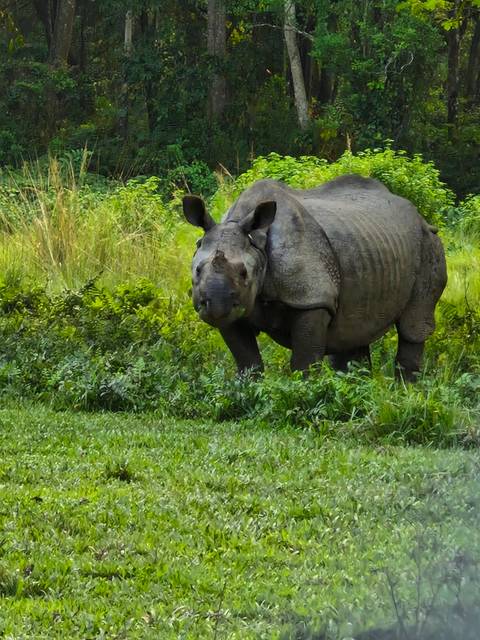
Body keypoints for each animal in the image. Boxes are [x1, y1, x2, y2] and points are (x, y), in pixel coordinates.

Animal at [183, 175, 447, 379]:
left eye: (243, 273)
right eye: (197, 270)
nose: (214, 306)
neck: (256, 241)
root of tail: (422, 218)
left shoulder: (312, 297)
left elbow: (304, 363)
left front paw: (303, 394)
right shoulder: (237, 310)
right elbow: (247, 362)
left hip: (429, 244)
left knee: (412, 326)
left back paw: (405, 393)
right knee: (352, 331)